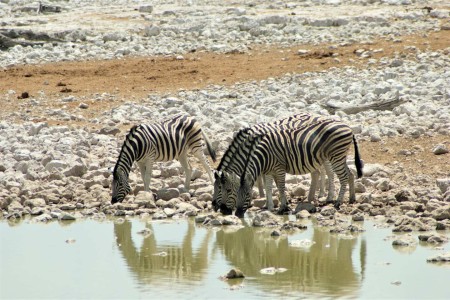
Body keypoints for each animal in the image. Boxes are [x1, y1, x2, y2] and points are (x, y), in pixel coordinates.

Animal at [234, 119, 364, 218]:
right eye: (235, 195)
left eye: (248, 195)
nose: (237, 214)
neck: (264, 156)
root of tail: (348, 127)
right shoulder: (269, 171)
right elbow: (269, 187)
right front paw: (271, 206)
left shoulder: (279, 168)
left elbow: (281, 187)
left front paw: (282, 207)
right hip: (340, 156)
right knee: (350, 174)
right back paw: (352, 198)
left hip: (336, 155)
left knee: (343, 177)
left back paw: (337, 202)